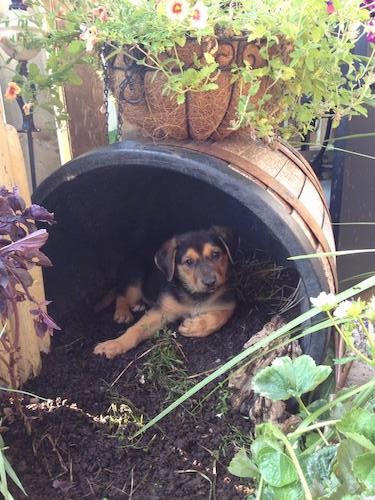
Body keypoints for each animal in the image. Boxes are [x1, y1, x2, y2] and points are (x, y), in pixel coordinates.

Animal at [95, 227, 239, 360]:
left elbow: (219, 317)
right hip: (134, 281)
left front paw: (194, 327)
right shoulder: (162, 310)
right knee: (121, 294)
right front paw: (113, 345)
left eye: (216, 254)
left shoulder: (227, 303)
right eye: (188, 261)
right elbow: (136, 329)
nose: (210, 282)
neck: (194, 294)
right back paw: (122, 313)